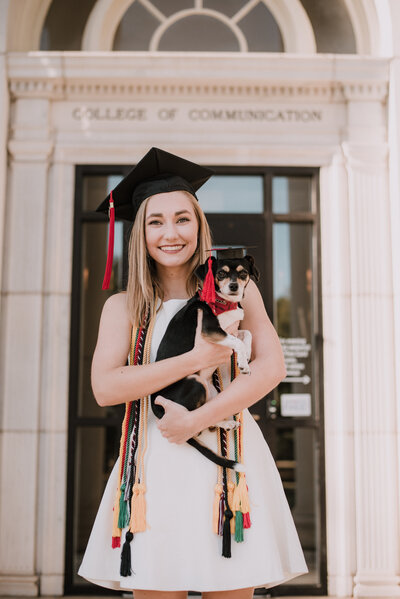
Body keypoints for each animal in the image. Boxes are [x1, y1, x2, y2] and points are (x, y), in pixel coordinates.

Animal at [150, 253, 260, 468]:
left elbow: (247, 334)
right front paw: (243, 363)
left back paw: (226, 423)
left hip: (212, 390)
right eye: (221, 274)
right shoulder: (211, 331)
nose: (233, 286)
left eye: (243, 273)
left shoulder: (231, 329)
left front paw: (247, 354)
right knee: (193, 424)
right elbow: (237, 340)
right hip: (196, 382)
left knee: (204, 417)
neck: (223, 303)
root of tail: (158, 411)